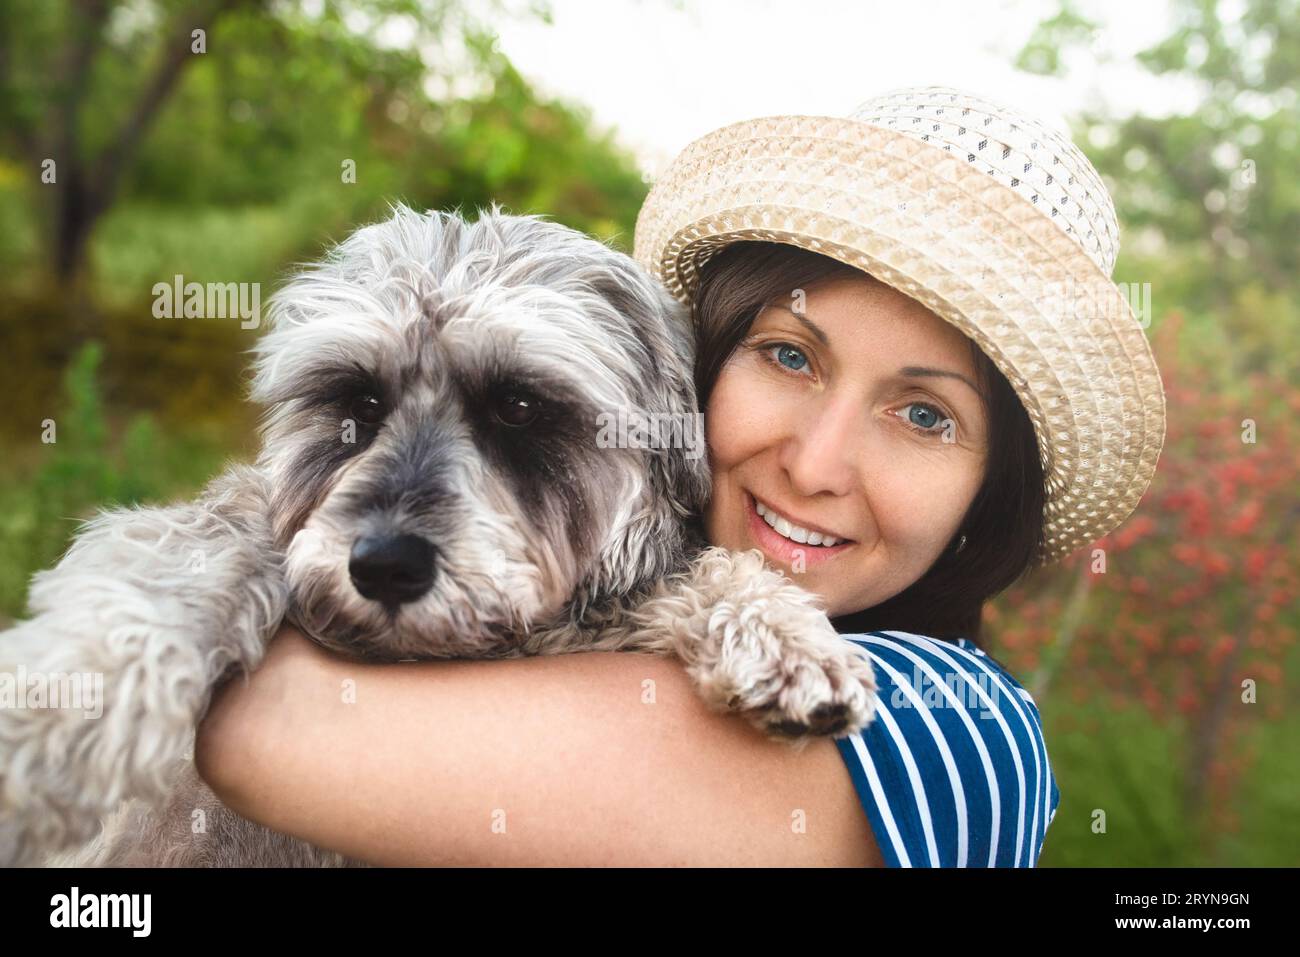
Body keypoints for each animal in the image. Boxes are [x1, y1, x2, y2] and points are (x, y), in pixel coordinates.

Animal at [0, 204, 878, 868]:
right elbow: (187, 556)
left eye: (520, 405)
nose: (384, 565)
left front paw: (780, 637)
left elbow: (681, 577)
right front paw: (61, 713)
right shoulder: (246, 518)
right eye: (358, 401)